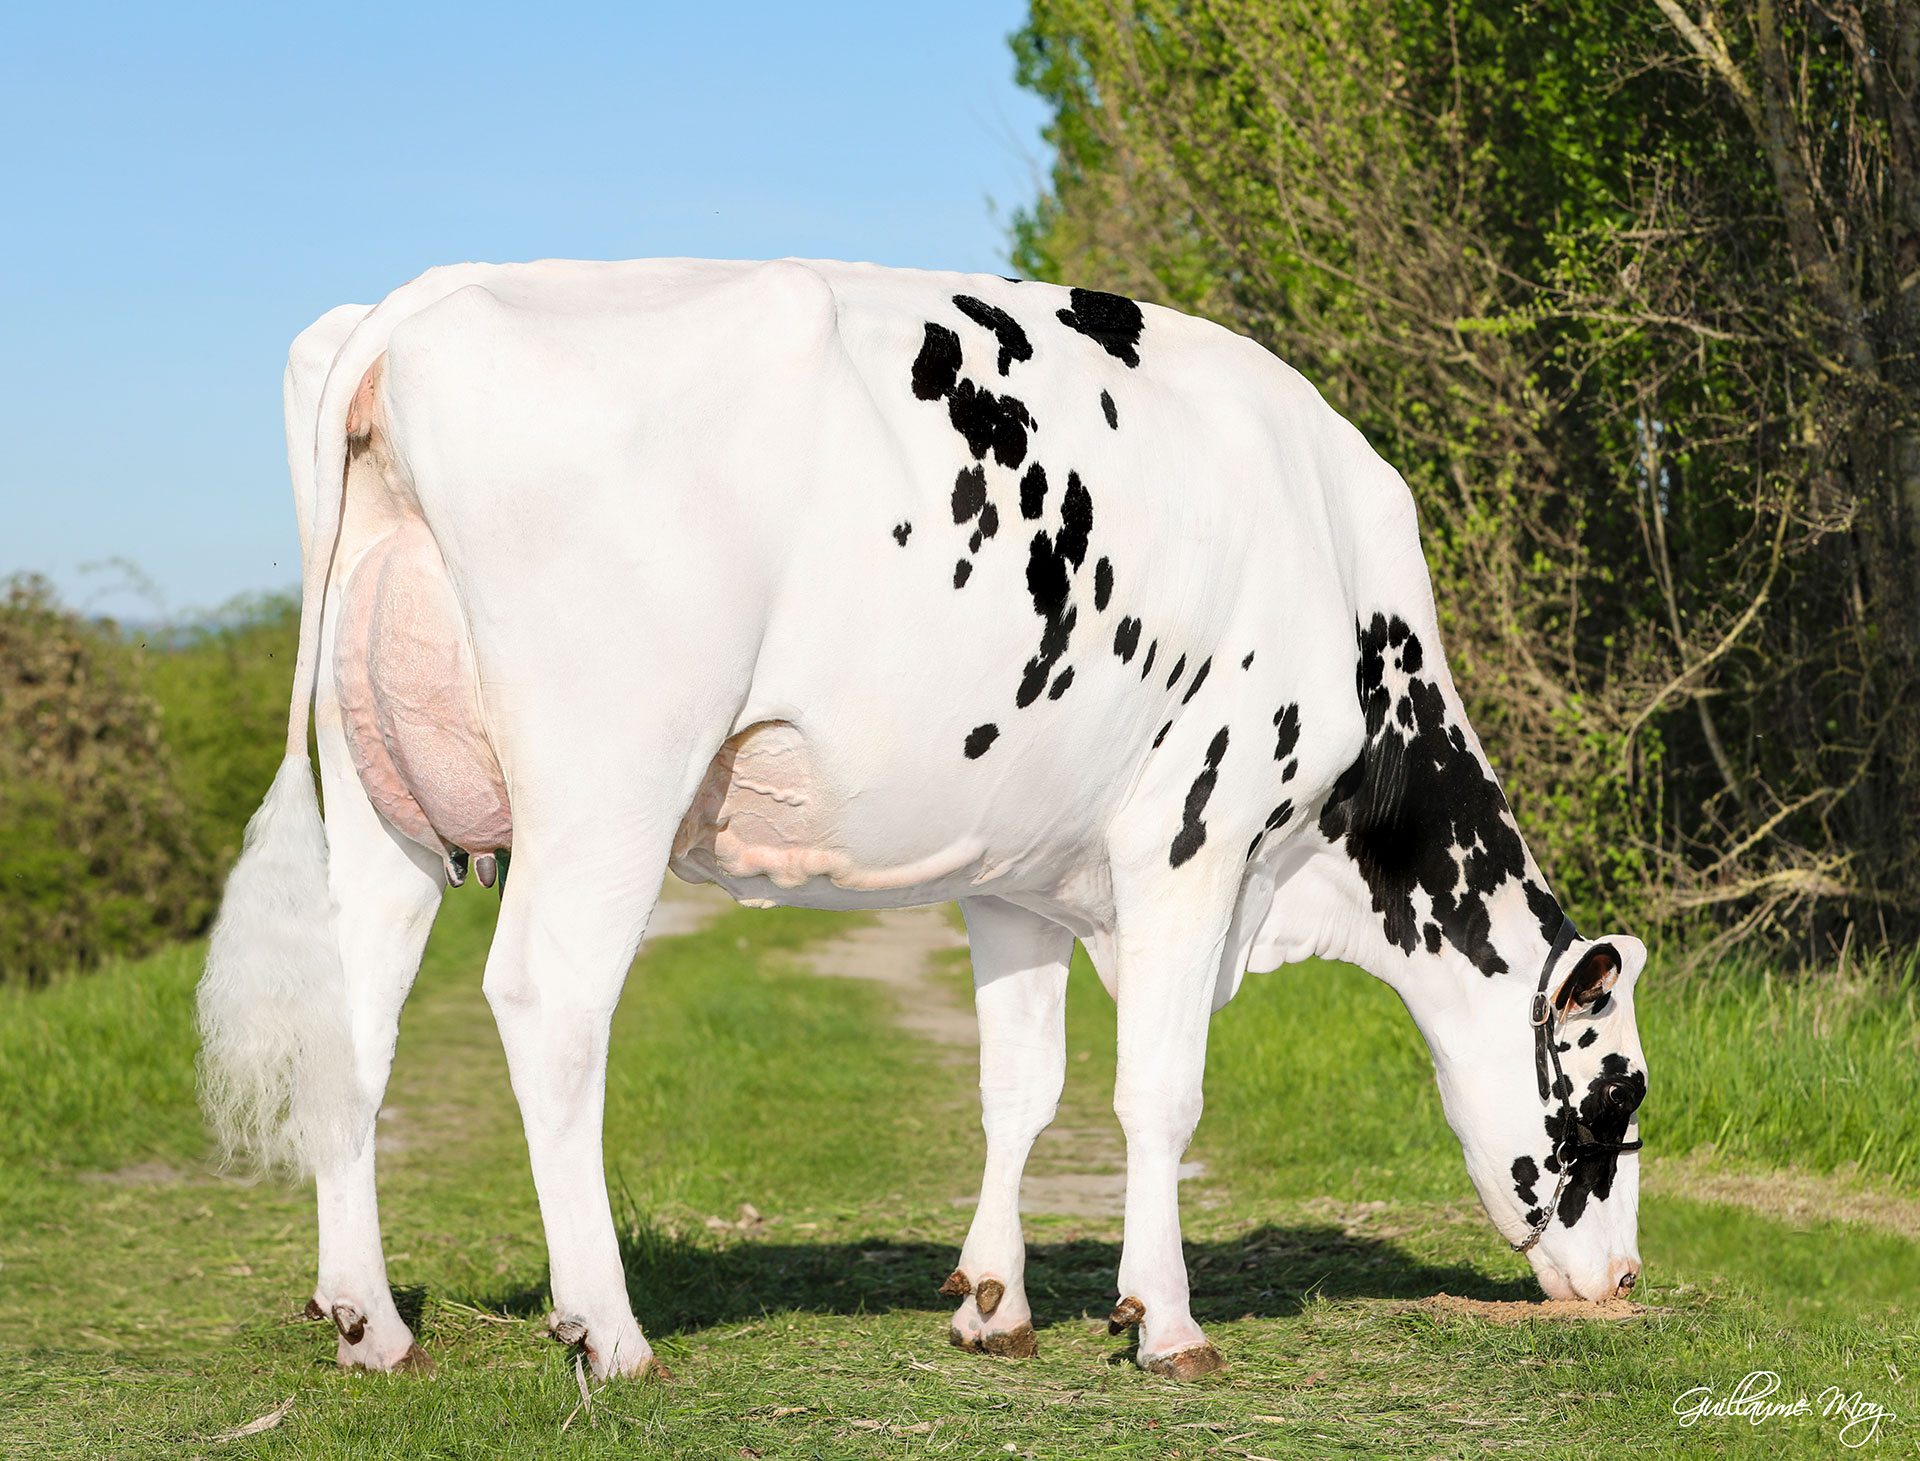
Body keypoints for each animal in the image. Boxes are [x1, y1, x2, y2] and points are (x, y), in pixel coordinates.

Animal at [198, 257, 1651, 1382]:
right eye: (1612, 1105)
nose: (1626, 1280)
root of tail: (416, 302)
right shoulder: (1195, 834)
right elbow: (1159, 1093)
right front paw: (1166, 1322)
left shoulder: (1018, 874)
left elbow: (1021, 1086)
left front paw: (995, 1305)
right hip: (609, 780)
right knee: (551, 1010)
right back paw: (607, 1331)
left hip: (381, 799)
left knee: (354, 1014)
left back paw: (371, 1325)